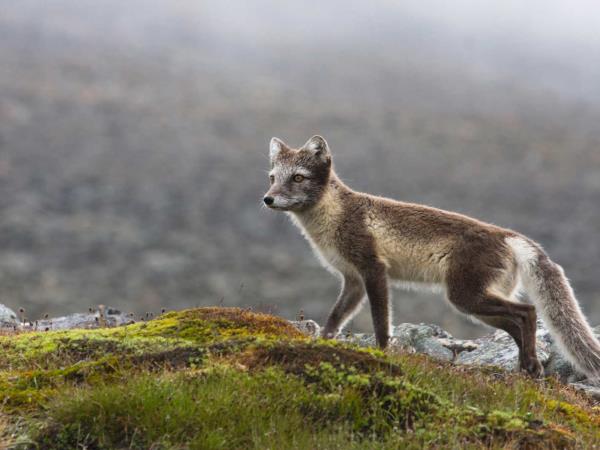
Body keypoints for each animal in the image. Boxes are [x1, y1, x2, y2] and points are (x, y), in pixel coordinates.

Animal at [264, 134, 600, 380]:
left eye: (298, 178)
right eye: (271, 177)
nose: (267, 199)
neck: (333, 217)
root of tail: (508, 235)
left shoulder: (374, 270)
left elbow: (381, 323)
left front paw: (382, 355)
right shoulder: (353, 280)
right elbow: (334, 319)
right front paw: (319, 345)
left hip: (466, 297)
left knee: (527, 312)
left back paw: (529, 365)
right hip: (477, 305)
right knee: (516, 323)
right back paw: (527, 367)